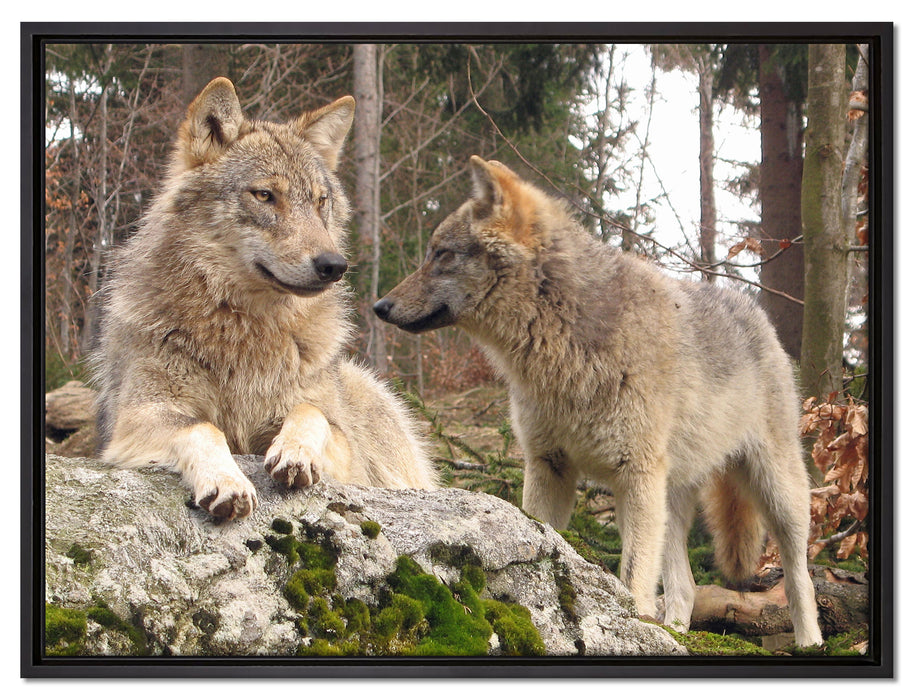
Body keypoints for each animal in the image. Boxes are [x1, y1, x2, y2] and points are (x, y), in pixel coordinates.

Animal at [90, 77, 437, 521]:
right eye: (265, 195)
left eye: (320, 201)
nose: (334, 265)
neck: (244, 327)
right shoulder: (138, 418)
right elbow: (203, 428)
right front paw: (227, 480)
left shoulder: (344, 448)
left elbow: (311, 413)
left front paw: (296, 452)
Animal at [374, 156, 823, 646]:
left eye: (441, 254)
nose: (379, 306)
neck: (563, 346)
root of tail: (756, 312)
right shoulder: (548, 465)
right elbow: (543, 537)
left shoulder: (635, 476)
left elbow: (633, 576)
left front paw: (633, 625)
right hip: (671, 503)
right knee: (684, 586)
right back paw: (675, 631)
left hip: (776, 494)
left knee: (799, 576)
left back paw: (810, 640)